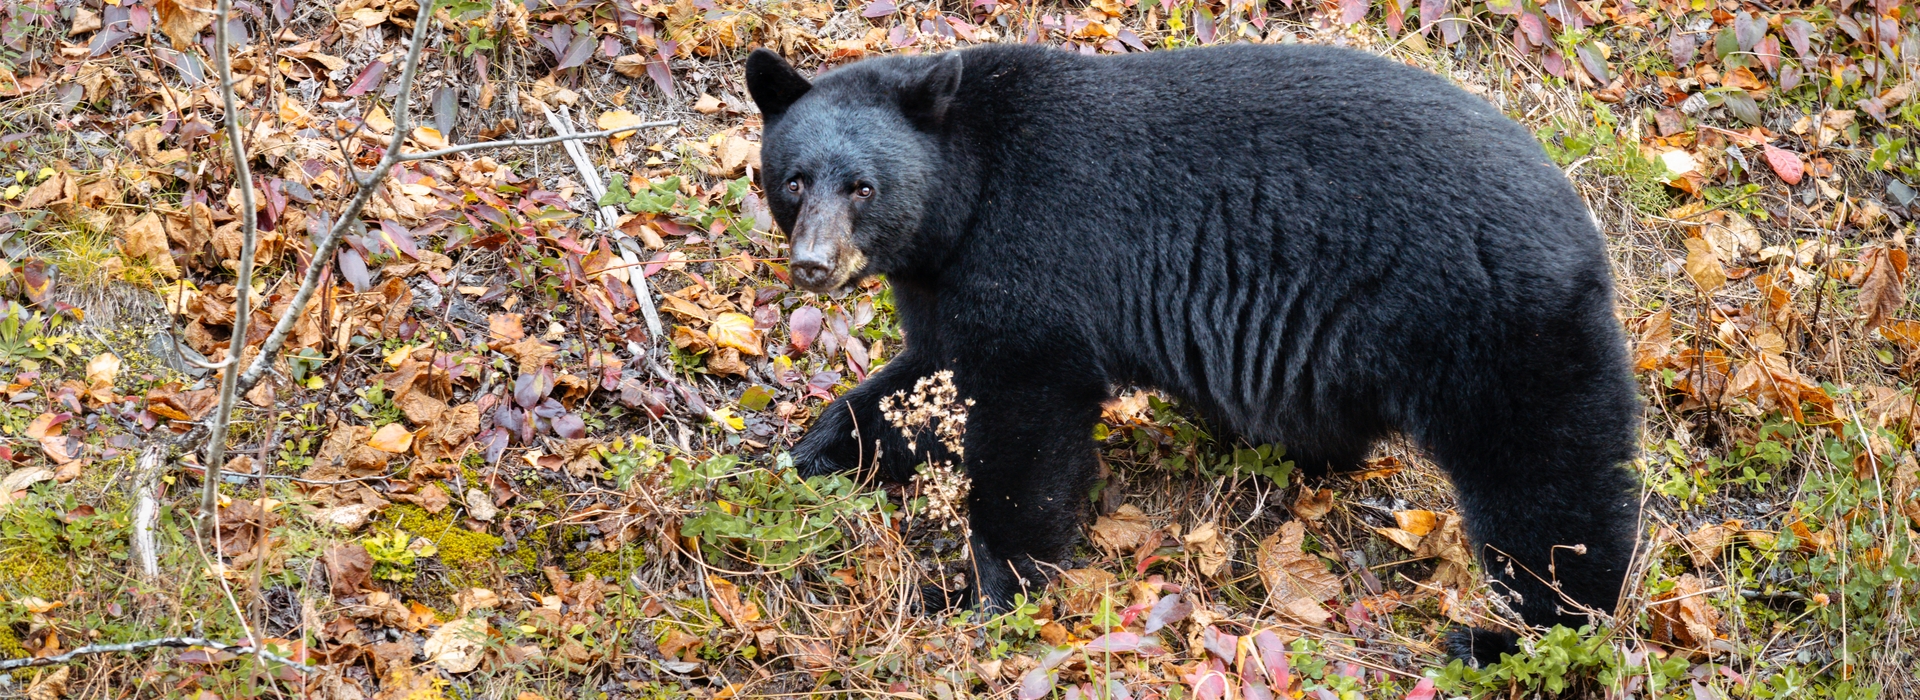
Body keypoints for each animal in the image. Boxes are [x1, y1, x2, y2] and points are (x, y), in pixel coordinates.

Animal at [744, 40, 1635, 663]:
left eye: (863, 186)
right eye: (793, 179)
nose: (814, 264)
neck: (966, 192)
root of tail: (1578, 214)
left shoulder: (1039, 254)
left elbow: (1028, 422)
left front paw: (997, 587)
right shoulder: (947, 283)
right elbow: (927, 381)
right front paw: (810, 450)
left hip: (1495, 332)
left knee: (1549, 490)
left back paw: (1522, 633)